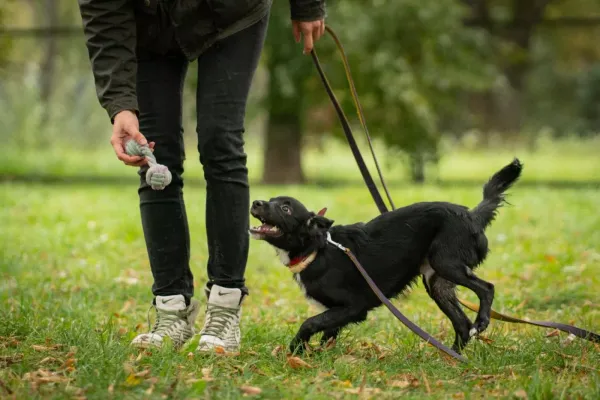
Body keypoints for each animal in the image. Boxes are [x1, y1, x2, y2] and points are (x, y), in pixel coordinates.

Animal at [251, 159, 524, 354]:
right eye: (272, 200)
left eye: (285, 208)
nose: (255, 202)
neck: (316, 249)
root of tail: (472, 215)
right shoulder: (338, 311)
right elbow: (327, 332)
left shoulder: (353, 306)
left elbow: (310, 322)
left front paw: (295, 350)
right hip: (436, 282)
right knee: (462, 325)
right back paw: (452, 357)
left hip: (446, 263)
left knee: (486, 288)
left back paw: (481, 322)